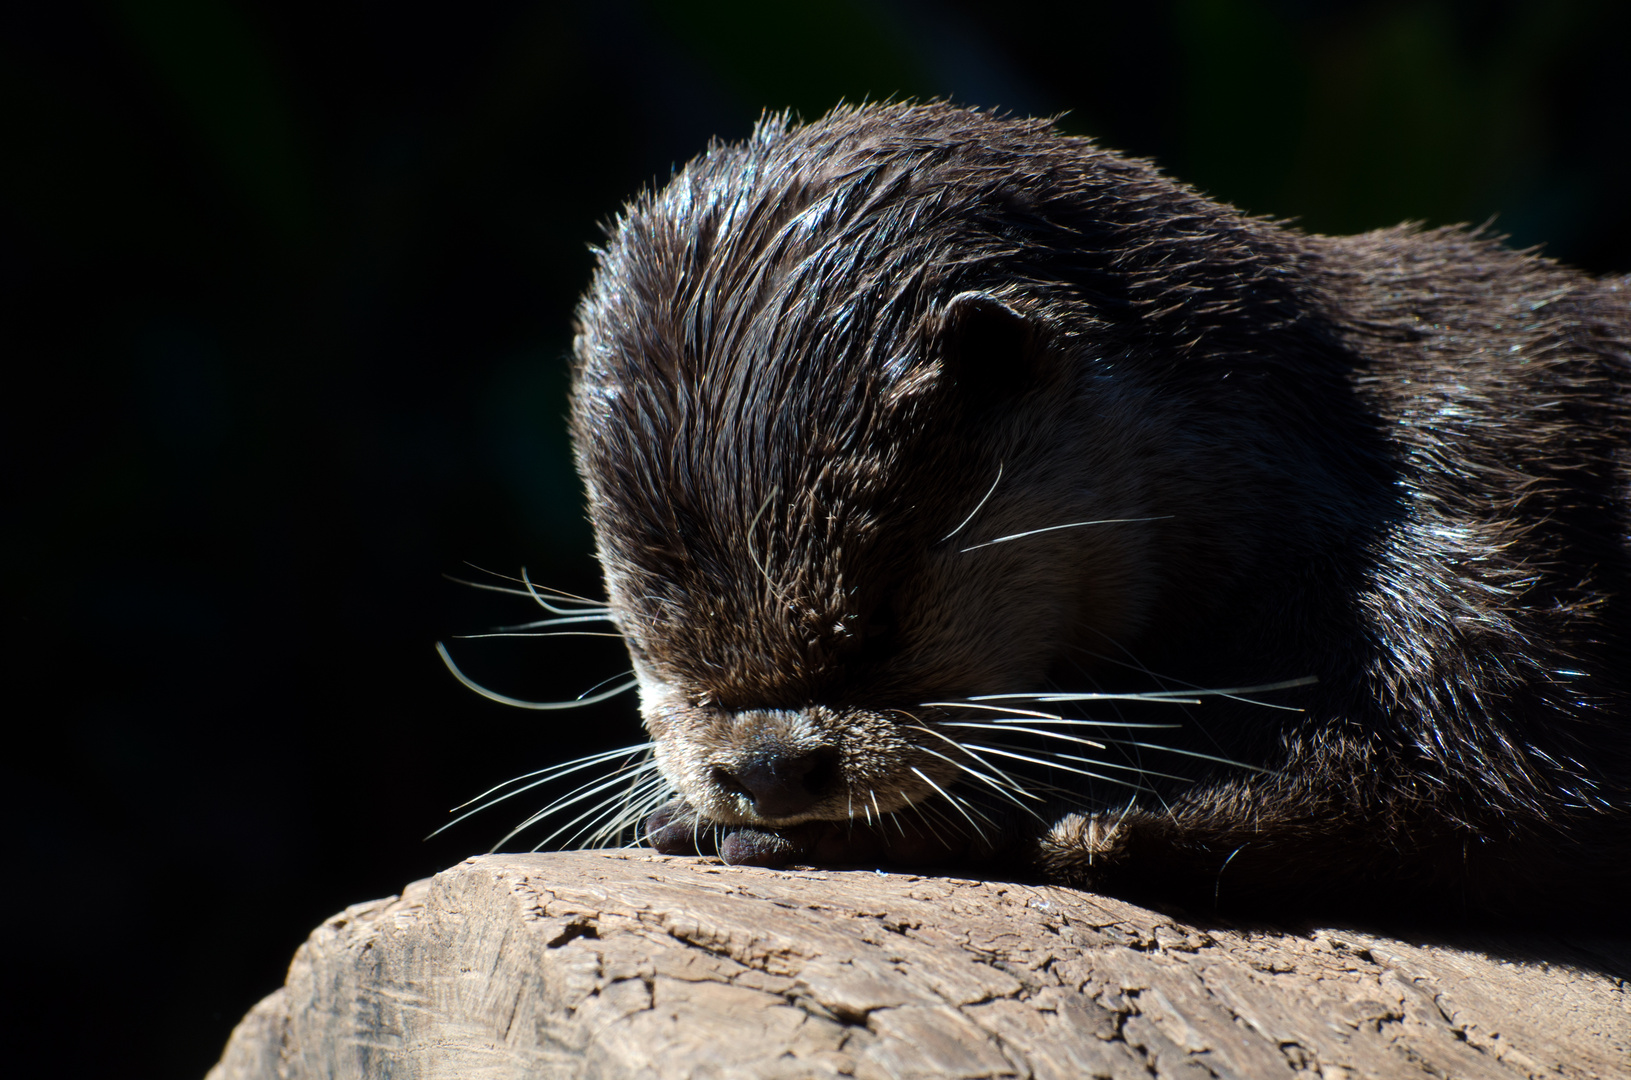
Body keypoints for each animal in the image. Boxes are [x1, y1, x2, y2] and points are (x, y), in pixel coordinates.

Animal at [561, 101, 1631, 920]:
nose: (770, 770)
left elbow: (1477, 802)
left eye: (878, 621)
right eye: (652, 642)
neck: (1322, 453)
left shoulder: (1478, 543)